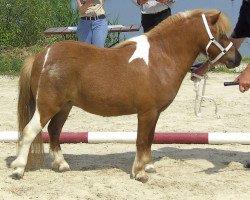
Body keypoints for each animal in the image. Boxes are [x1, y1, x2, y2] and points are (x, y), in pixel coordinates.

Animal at [10, 9, 241, 182]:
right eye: (221, 35)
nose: (237, 59)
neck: (160, 57)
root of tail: (42, 56)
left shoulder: (155, 113)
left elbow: (149, 140)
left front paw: (149, 166)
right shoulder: (147, 112)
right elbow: (141, 141)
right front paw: (139, 173)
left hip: (64, 107)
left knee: (54, 132)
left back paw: (62, 165)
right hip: (47, 106)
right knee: (30, 131)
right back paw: (18, 169)